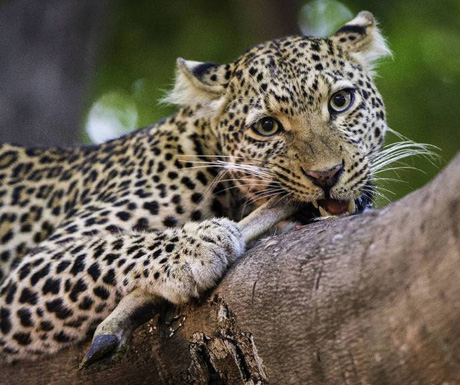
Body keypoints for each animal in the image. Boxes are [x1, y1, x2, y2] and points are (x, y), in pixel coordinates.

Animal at [0, 11, 396, 364]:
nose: (327, 175)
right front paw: (196, 247)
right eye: (267, 126)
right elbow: (104, 250)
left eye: (340, 102)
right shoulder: (26, 272)